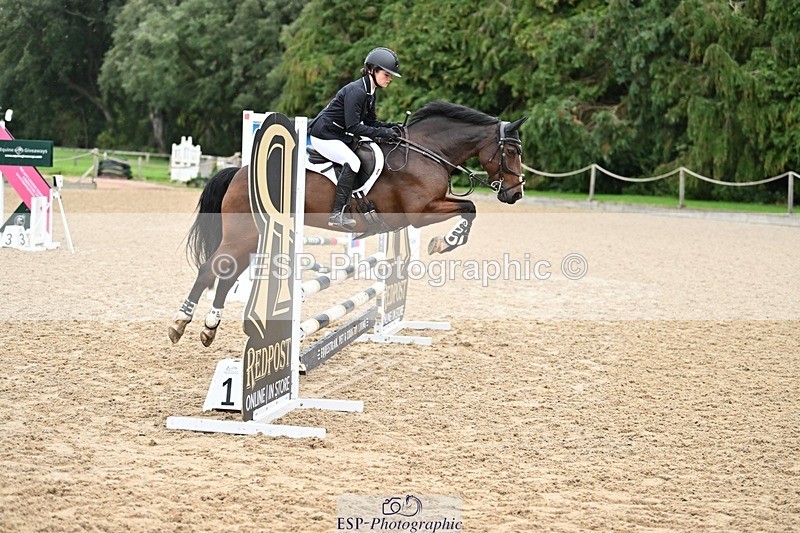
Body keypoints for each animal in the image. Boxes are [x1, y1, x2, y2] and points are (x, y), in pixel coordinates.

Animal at [168, 101, 527, 347]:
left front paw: (444, 243)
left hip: (252, 238)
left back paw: (209, 328)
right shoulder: (420, 212)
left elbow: (469, 209)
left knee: (226, 275)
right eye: (511, 151)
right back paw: (179, 323)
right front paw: (444, 243)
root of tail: (239, 171)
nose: (517, 193)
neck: (427, 152)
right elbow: (469, 208)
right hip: (242, 235)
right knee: (210, 271)